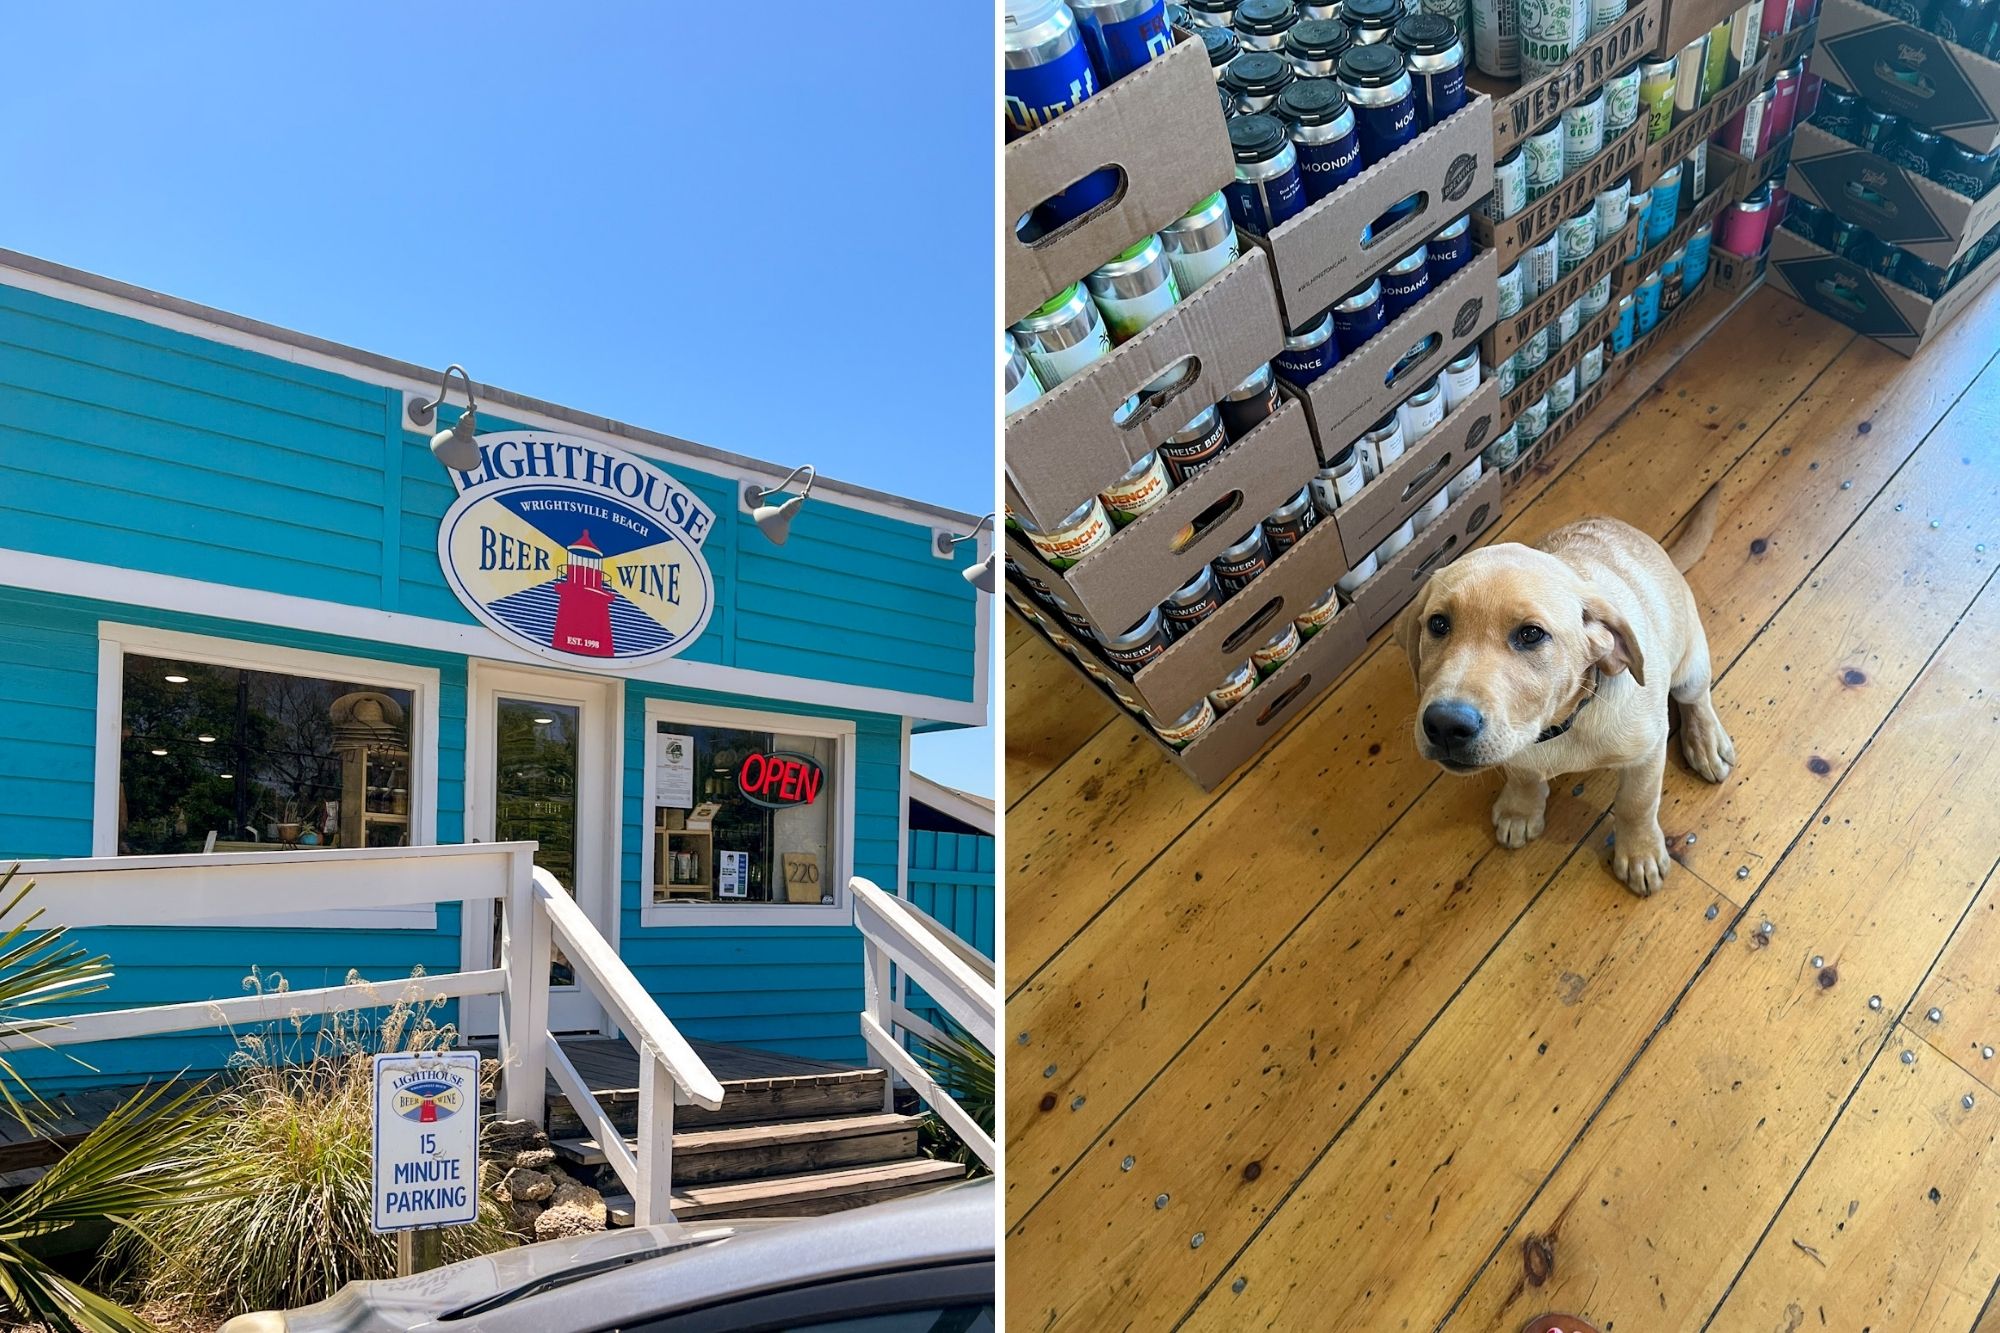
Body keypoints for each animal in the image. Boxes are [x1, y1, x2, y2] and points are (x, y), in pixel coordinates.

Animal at [1392, 488, 1736, 892]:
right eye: (1438, 624)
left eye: (1530, 634)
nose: (1445, 725)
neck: (1561, 724)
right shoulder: (1517, 742)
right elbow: (1523, 773)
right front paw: (1521, 809)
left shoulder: (1648, 750)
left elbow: (1637, 801)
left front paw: (1640, 852)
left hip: (1690, 663)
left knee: (1696, 699)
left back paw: (1705, 741)